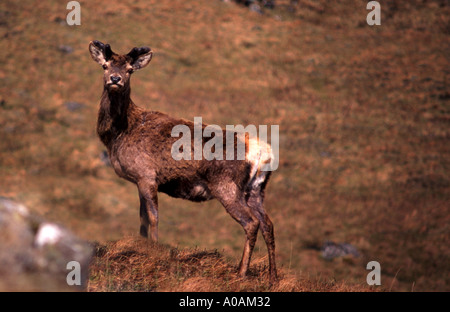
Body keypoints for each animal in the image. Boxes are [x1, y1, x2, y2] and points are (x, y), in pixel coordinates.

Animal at [88, 40, 278, 282]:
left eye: (129, 70)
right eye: (105, 66)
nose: (115, 79)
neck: (119, 134)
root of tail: (263, 153)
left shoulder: (147, 175)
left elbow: (153, 217)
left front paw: (155, 249)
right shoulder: (139, 180)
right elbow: (142, 218)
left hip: (227, 186)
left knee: (251, 223)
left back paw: (241, 272)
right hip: (256, 190)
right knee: (268, 224)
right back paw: (273, 276)